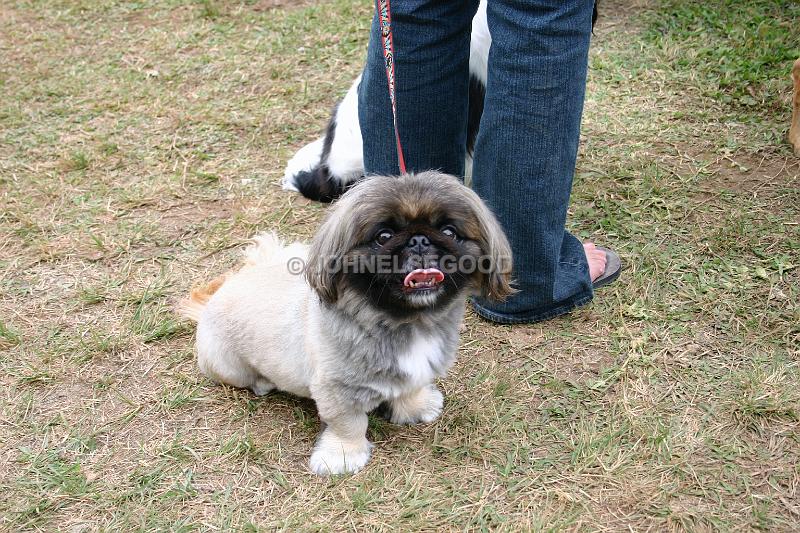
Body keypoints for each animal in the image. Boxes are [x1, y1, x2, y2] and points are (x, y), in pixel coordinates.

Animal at [180, 171, 512, 474]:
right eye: (383, 237)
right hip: (228, 366)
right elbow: (350, 425)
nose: (419, 240)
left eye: (449, 231)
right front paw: (343, 456)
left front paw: (415, 408)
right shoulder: (337, 391)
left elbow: (409, 388)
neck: (406, 322)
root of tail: (215, 298)